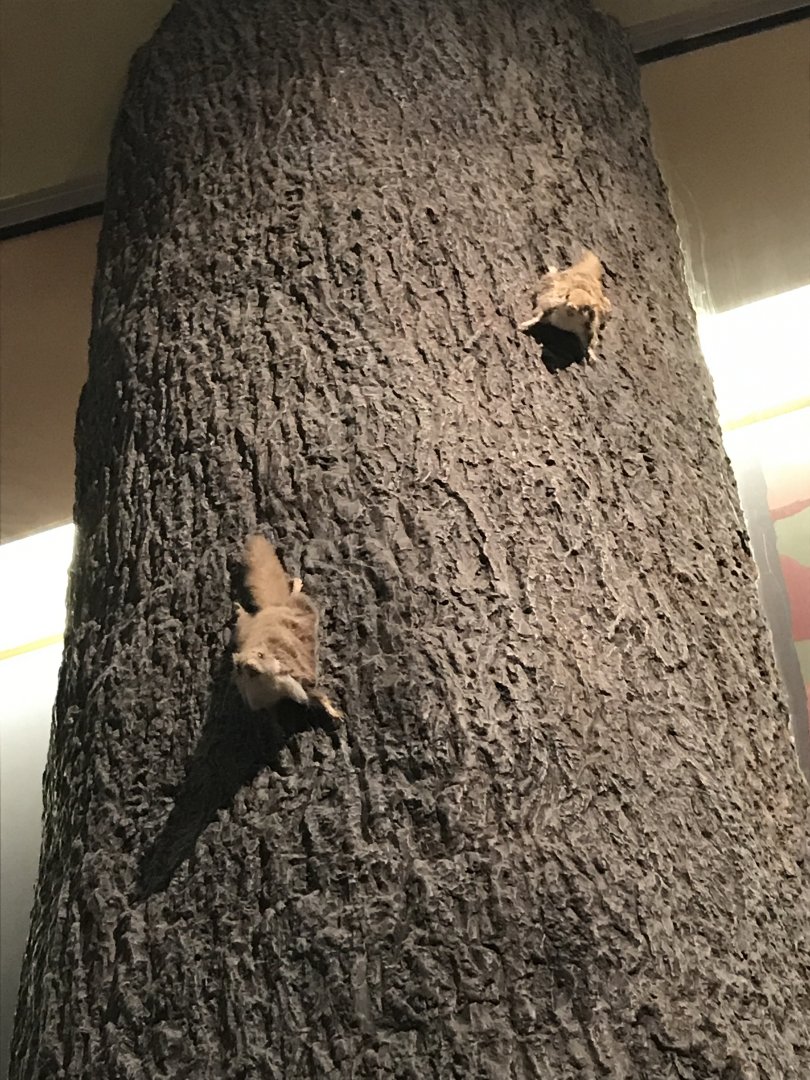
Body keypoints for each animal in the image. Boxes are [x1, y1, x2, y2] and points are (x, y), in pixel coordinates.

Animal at [233, 535, 340, 718]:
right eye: (239, 667)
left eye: (261, 655)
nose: (250, 666)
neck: (268, 685)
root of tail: (272, 608)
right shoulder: (261, 700)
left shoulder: (293, 682)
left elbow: (315, 695)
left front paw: (333, 711)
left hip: (300, 606)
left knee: (295, 597)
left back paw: (295, 585)